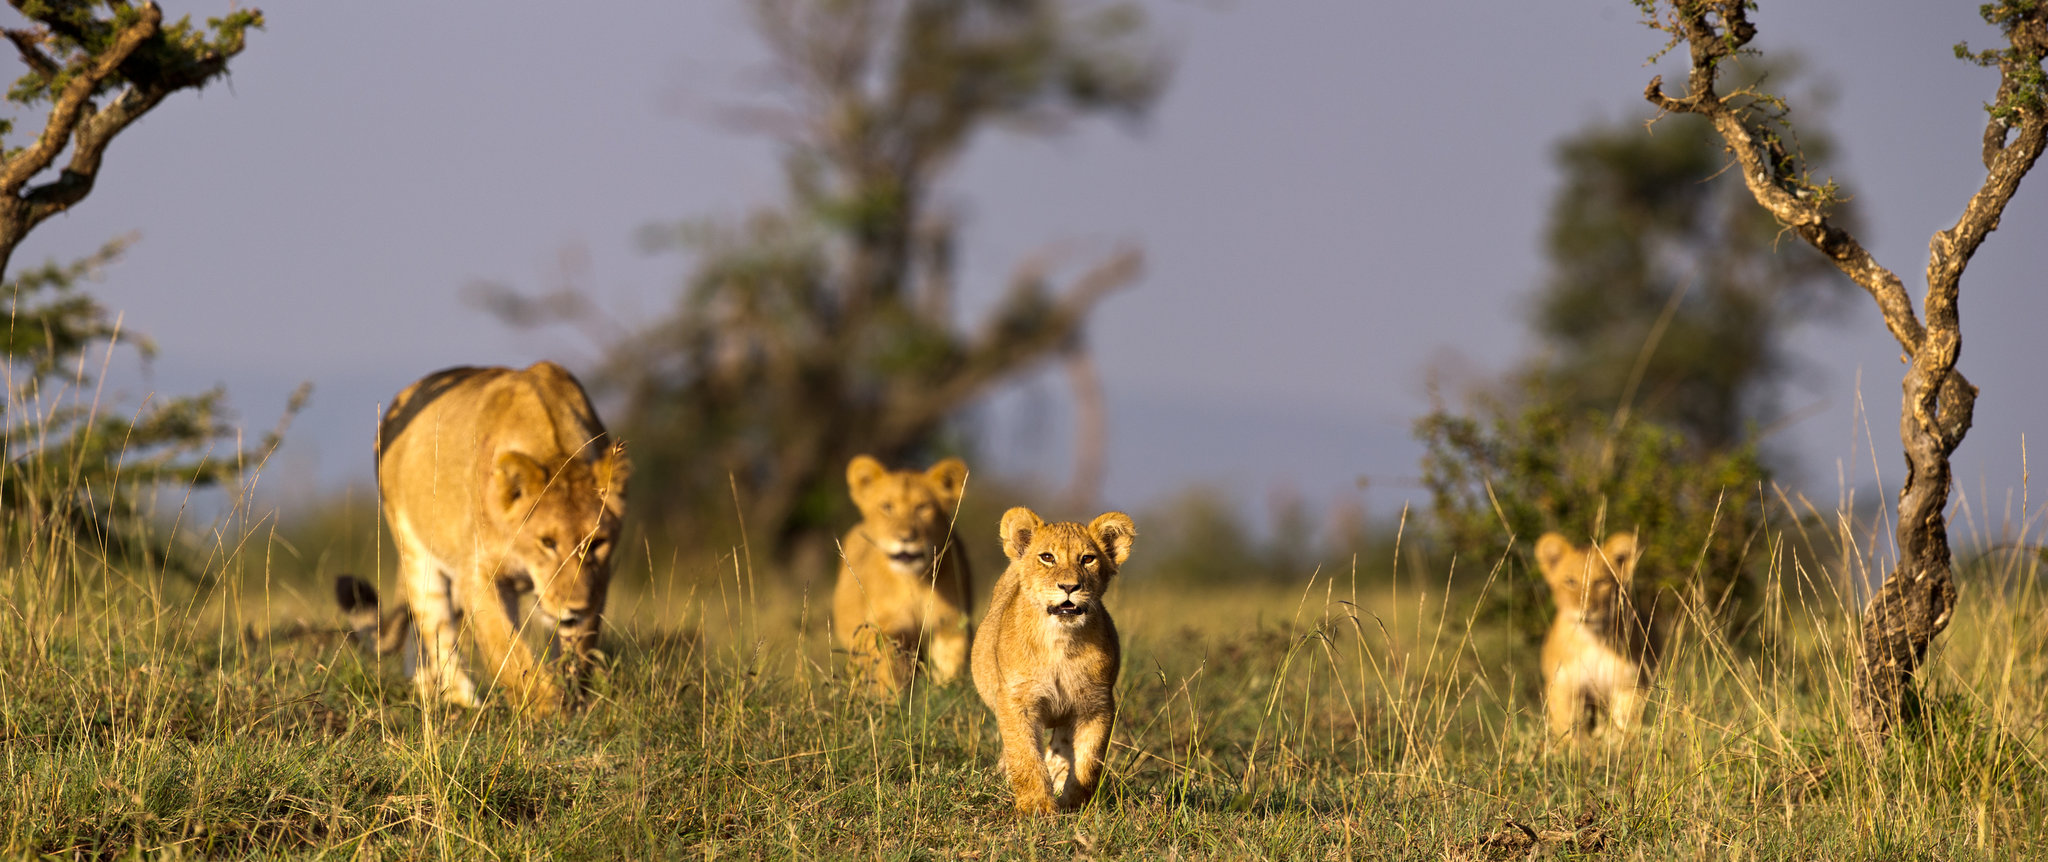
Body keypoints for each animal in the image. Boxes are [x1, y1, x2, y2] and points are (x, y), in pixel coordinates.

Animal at [335, 362, 628, 717]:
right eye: (547, 542)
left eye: (597, 543)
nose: (575, 608)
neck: (556, 448)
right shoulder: (476, 572)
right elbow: (508, 650)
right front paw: (545, 709)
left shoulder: (600, 578)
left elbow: (579, 650)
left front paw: (573, 704)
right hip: (417, 551)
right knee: (434, 627)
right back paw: (462, 699)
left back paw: (426, 687)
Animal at [831, 455, 973, 694]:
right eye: (887, 507)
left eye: (923, 507)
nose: (905, 537)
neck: (914, 582)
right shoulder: (887, 628)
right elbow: (890, 671)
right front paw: (894, 699)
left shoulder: (951, 623)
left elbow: (950, 667)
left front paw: (947, 693)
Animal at [971, 507, 1135, 814]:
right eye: (1047, 557)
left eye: (1087, 559)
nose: (1069, 586)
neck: (1060, 642)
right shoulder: (1016, 700)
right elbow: (1025, 756)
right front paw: (1037, 807)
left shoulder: (1096, 704)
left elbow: (1089, 761)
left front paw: (1074, 804)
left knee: (1061, 747)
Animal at [1536, 531, 1648, 747]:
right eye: (1570, 581)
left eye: (1602, 582)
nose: (1586, 610)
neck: (1593, 640)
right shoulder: (1563, 686)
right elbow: (1569, 729)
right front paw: (1574, 751)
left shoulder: (1629, 683)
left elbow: (1625, 724)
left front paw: (1621, 747)